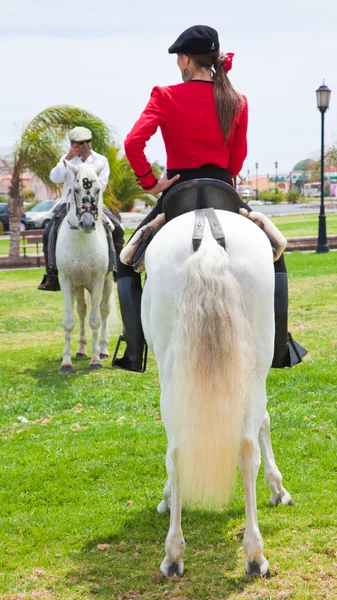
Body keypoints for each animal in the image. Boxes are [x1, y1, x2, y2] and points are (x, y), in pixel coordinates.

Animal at [55, 162, 116, 372]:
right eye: (76, 189)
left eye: (98, 190)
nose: (88, 223)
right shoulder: (66, 282)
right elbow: (68, 322)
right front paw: (66, 361)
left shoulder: (98, 281)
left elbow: (95, 320)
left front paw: (96, 359)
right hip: (80, 287)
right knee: (81, 311)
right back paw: (81, 349)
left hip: (107, 283)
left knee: (104, 311)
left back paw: (103, 349)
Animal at [142, 210, 292, 576]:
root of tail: (209, 240)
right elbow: (265, 422)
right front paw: (277, 487)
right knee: (244, 447)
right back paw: (253, 554)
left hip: (174, 376)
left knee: (178, 452)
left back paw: (175, 552)